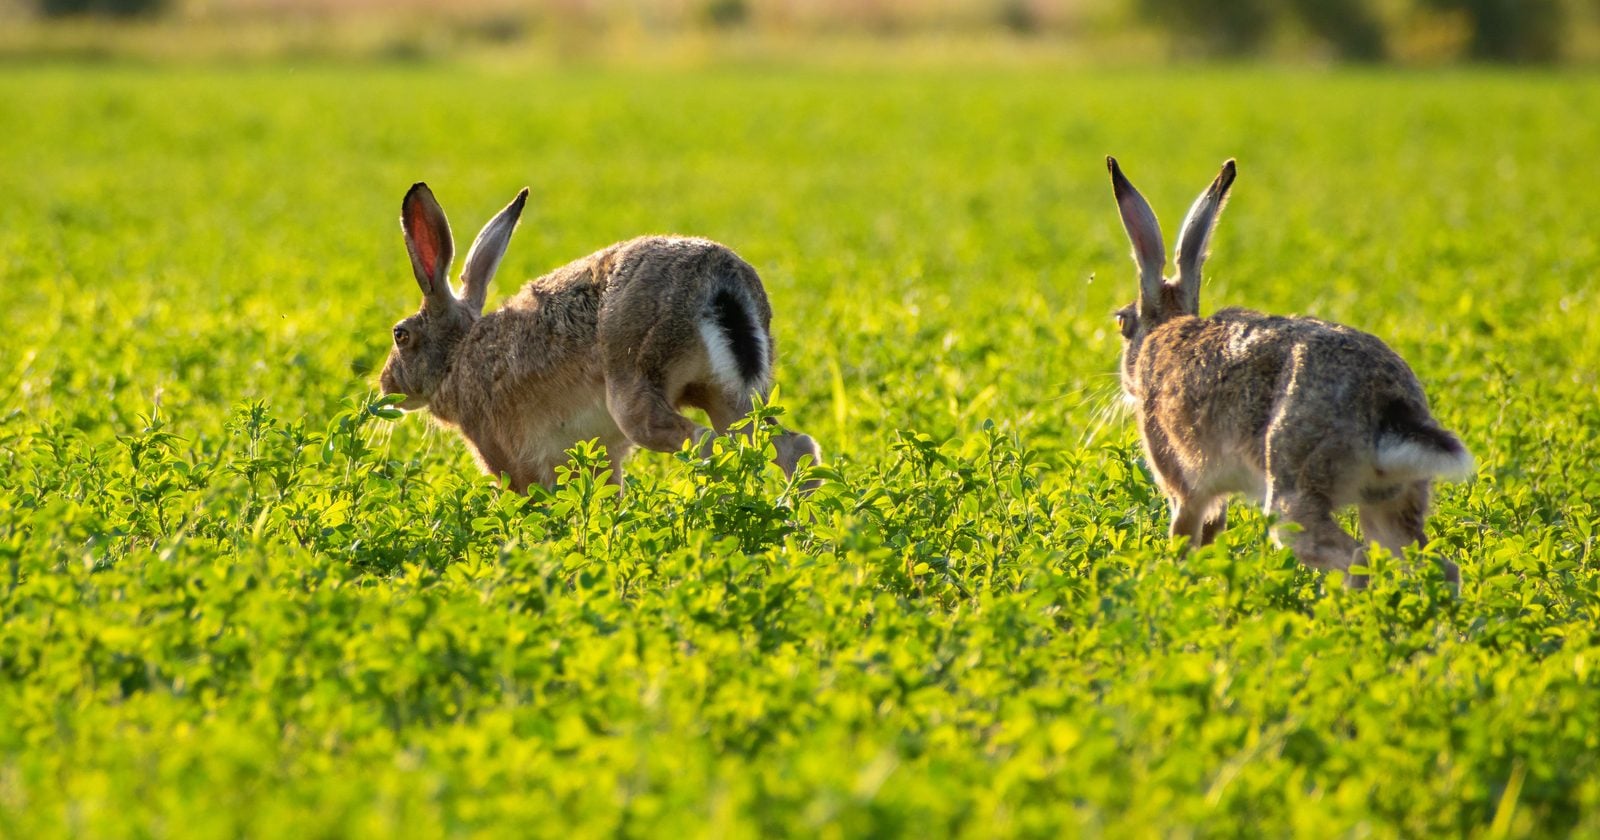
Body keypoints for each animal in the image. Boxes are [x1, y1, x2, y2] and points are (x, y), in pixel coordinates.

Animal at [378, 182, 821, 495]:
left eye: (400, 335)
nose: (385, 384)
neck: (457, 354)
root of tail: (721, 284)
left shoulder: (503, 451)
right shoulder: (595, 457)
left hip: (634, 392)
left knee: (705, 444)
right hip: (729, 396)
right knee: (788, 447)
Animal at [1104, 157, 1472, 588]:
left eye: (1121, 322)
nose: (1126, 380)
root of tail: (1387, 406)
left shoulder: (1183, 485)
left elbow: (1184, 537)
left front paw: (1177, 582)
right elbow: (1213, 534)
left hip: (1292, 489)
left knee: (1355, 555)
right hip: (1392, 499)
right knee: (1435, 564)